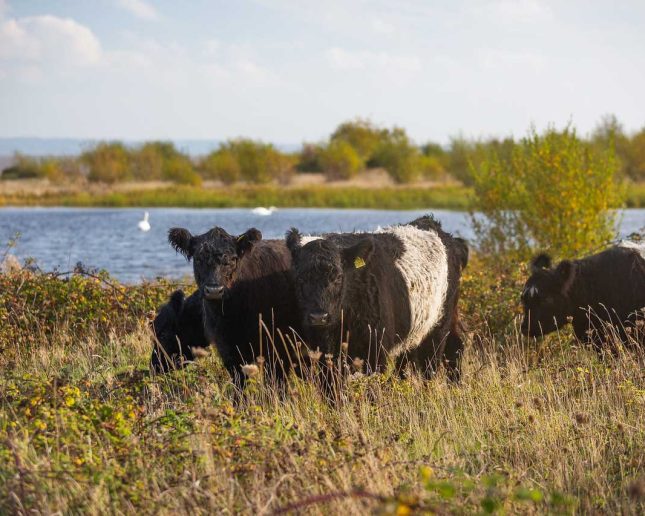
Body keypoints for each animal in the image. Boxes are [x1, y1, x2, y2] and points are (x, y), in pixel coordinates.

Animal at [285, 215, 469, 381]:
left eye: (338, 277)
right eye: (300, 278)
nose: (319, 317)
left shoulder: (376, 350)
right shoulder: (324, 351)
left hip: (438, 325)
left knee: (432, 363)